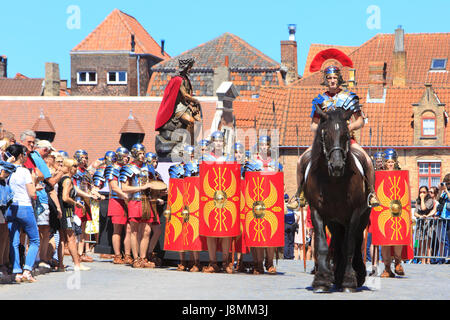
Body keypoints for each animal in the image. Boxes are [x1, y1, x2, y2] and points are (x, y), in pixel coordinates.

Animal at [298, 107, 370, 292]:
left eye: (345, 134)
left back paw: (354, 275)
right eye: (325, 135)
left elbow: (349, 246)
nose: (336, 166)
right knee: (337, 242)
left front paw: (349, 281)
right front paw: (321, 281)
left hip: (361, 218)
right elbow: (322, 246)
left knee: (354, 241)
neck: (334, 182)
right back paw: (336, 276)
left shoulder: (354, 214)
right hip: (335, 221)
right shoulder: (317, 212)